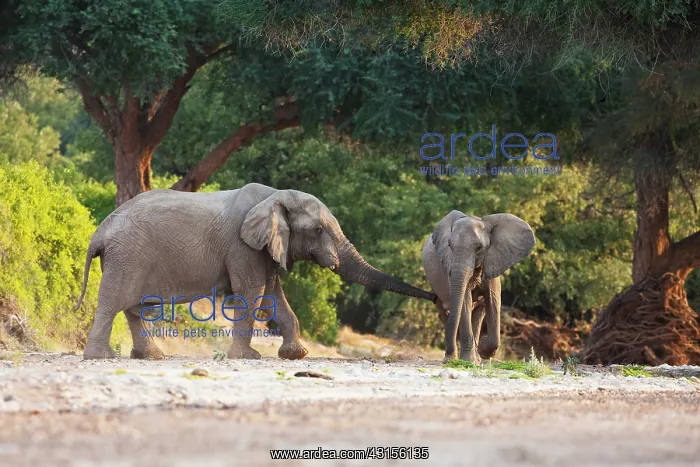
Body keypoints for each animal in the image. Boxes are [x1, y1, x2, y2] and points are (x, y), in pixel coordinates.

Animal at [73, 183, 437, 360]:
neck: (275, 196)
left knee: (136, 309)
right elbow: (253, 292)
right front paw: (249, 357)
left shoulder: (266, 247)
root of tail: (100, 231)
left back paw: (151, 358)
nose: (436, 298)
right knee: (113, 303)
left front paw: (295, 356)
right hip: (127, 257)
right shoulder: (242, 246)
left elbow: (275, 294)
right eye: (318, 230)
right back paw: (101, 357)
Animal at [422, 210, 535, 363]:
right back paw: (455, 359)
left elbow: (493, 300)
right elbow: (465, 299)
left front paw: (482, 351)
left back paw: (473, 358)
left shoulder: (492, 262)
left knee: (478, 312)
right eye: (449, 246)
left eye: (479, 248)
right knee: (444, 312)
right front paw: (469, 360)